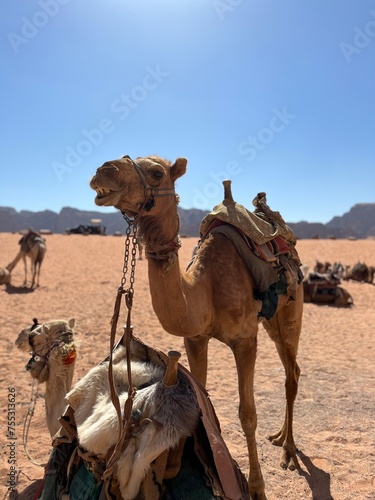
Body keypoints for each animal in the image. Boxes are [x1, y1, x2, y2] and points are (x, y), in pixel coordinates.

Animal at [91, 154, 306, 498]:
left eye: (157, 173)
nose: (104, 170)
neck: (205, 288)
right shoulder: (194, 338)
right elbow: (199, 398)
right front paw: (174, 469)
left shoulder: (245, 340)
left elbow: (248, 414)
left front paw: (257, 487)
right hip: (271, 320)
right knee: (292, 370)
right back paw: (279, 437)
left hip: (291, 309)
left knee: (292, 373)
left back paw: (288, 450)